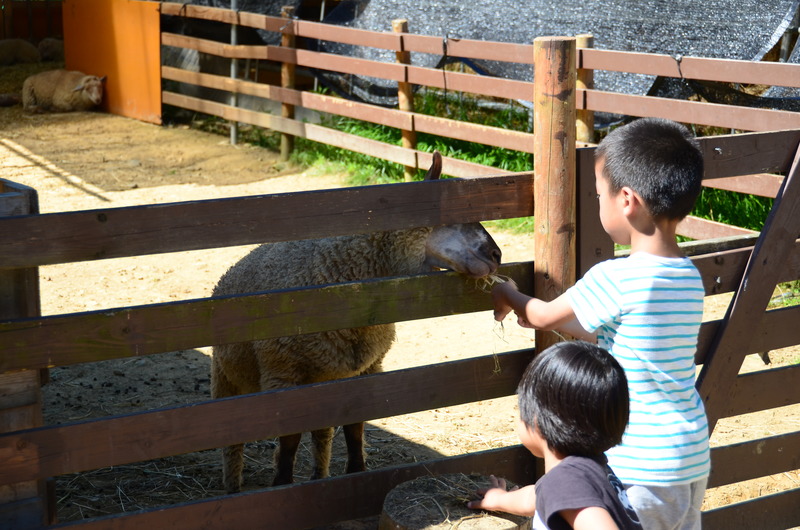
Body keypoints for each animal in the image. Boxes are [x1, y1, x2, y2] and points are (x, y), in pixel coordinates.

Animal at [209, 150, 504, 490]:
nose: (497, 255)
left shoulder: (365, 369)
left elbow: (355, 426)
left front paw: (357, 473)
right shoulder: (282, 373)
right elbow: (289, 440)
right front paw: (282, 484)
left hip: (323, 379)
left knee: (322, 433)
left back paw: (320, 476)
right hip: (226, 377)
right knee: (232, 441)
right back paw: (233, 486)